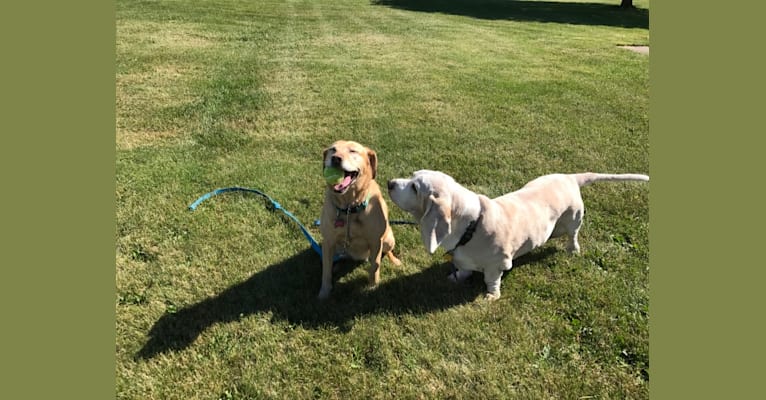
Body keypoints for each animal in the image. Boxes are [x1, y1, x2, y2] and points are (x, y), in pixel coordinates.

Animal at [390, 170, 648, 300]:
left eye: (415, 187)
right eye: (411, 176)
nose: (390, 182)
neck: (471, 226)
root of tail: (570, 177)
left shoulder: (498, 264)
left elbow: (491, 280)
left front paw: (491, 296)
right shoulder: (463, 258)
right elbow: (463, 269)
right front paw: (457, 278)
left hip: (574, 218)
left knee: (573, 235)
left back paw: (572, 250)